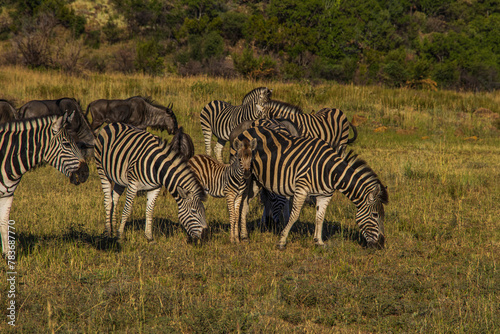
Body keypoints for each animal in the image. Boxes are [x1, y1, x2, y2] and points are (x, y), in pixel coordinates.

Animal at [0, 113, 89, 258]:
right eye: (66, 144)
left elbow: (4, 224)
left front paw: (8, 256)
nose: (85, 173)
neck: (6, 157)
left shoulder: (8, 194)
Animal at [236, 126, 388, 249]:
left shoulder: (325, 195)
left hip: (257, 180)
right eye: (375, 215)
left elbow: (320, 217)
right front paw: (282, 241)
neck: (329, 170)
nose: (381, 245)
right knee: (240, 201)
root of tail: (249, 129)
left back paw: (244, 235)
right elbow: (294, 215)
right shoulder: (301, 188)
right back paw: (241, 236)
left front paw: (319, 242)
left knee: (245, 203)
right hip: (245, 176)